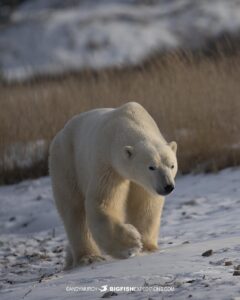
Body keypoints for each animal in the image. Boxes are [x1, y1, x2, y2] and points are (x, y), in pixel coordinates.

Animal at [48, 102, 177, 268]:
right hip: (66, 163)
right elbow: (103, 202)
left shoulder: (143, 183)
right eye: (151, 167)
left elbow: (146, 205)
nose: (168, 186)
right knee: (74, 210)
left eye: (172, 165)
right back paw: (89, 257)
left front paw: (148, 247)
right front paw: (131, 244)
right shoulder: (107, 165)